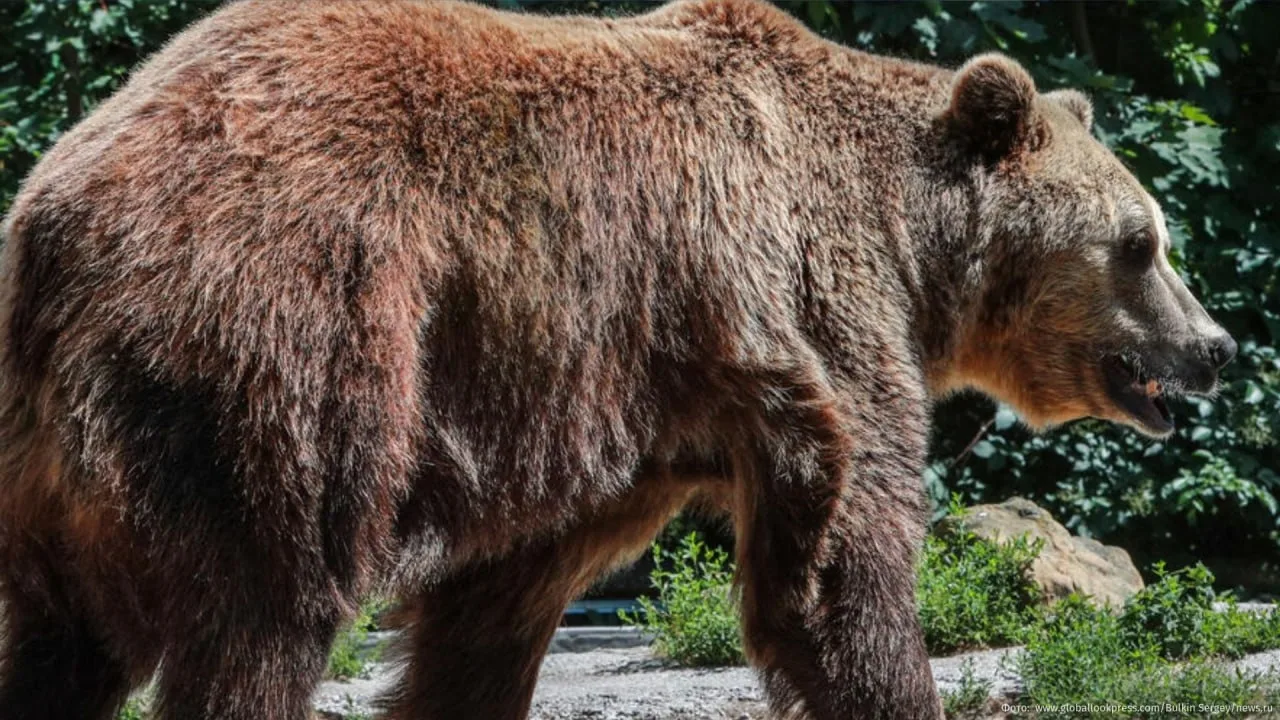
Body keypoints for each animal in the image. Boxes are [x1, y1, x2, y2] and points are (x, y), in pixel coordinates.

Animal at [0, 0, 1236, 719]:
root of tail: (62, 213)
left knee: (62, 649)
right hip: (287, 343)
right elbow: (845, 562)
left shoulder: (588, 406)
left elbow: (491, 609)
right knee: (267, 604)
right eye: (1142, 241)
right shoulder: (811, 310)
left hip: (56, 457)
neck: (913, 242)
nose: (1215, 349)